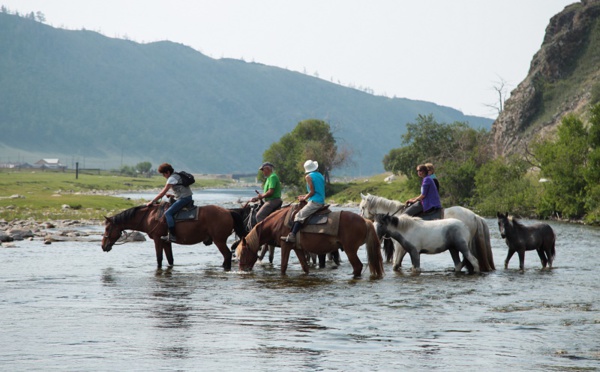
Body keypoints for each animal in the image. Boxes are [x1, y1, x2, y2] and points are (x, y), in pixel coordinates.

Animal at [101, 203, 244, 270]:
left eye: (107, 228)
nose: (103, 246)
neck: (150, 216)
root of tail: (228, 212)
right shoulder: (166, 242)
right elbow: (170, 259)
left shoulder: (158, 239)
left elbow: (159, 259)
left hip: (219, 241)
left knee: (227, 255)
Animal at [236, 203, 384, 280]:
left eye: (243, 253)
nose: (242, 270)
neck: (277, 223)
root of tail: (365, 221)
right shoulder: (297, 248)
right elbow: (305, 266)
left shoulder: (286, 245)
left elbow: (283, 266)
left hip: (350, 249)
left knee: (358, 266)